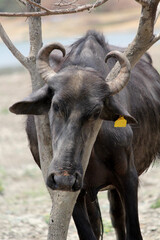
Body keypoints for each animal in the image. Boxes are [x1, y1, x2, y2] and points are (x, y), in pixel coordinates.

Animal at [9, 31, 160, 239]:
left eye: (96, 112)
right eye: (56, 105)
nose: (64, 177)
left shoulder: (128, 177)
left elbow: (134, 231)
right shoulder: (71, 192)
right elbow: (88, 233)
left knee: (117, 218)